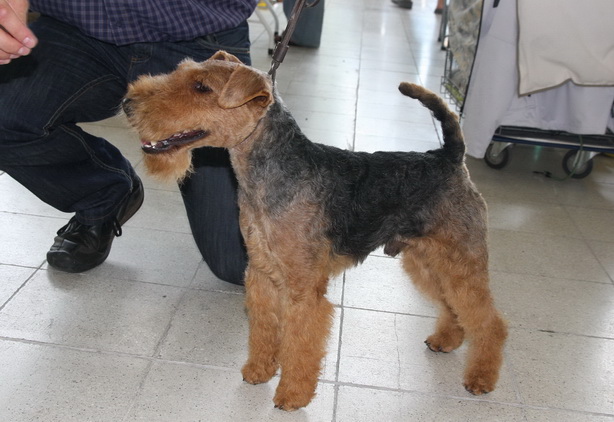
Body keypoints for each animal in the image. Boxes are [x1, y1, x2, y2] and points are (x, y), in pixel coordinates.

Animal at [123, 50, 507, 411]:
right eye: (181, 72)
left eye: (202, 87)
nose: (127, 104)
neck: (267, 177)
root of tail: (450, 158)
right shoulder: (261, 273)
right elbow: (264, 328)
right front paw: (259, 371)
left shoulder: (304, 289)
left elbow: (301, 342)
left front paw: (292, 395)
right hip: (427, 260)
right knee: (453, 306)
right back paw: (446, 340)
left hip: (460, 260)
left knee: (489, 322)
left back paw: (481, 378)